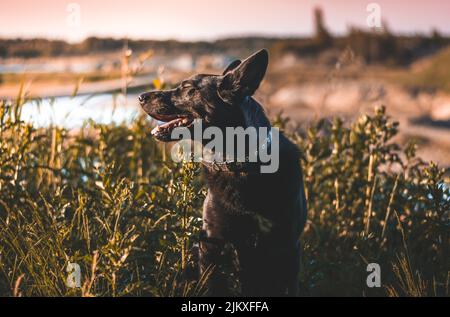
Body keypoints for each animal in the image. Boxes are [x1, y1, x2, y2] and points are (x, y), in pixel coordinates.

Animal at [139, 49, 308, 296]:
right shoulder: (212, 242)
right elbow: (211, 285)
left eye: (187, 88)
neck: (240, 167)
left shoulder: (287, 248)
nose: (140, 96)